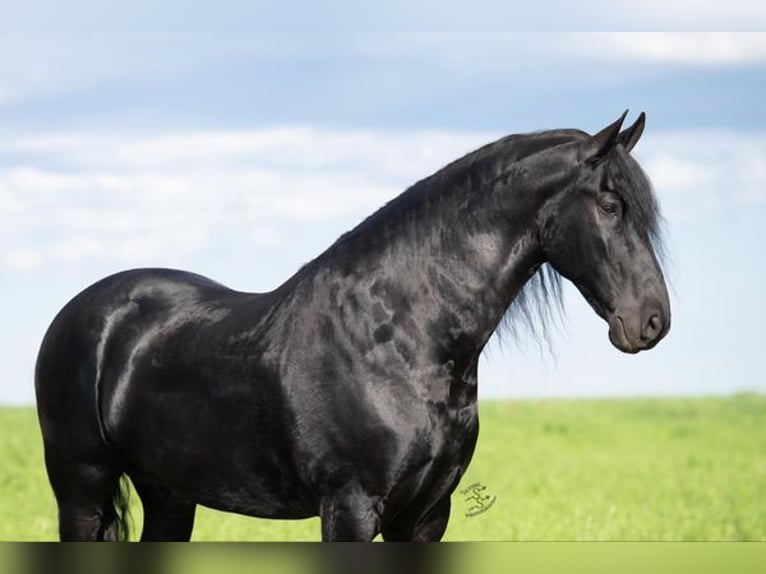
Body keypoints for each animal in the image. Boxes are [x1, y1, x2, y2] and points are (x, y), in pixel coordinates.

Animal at [36, 113, 672, 544]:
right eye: (611, 205)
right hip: (81, 488)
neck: (396, 338)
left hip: (168, 493)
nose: (652, 322)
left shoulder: (426, 515)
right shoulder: (350, 507)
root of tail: (80, 314)